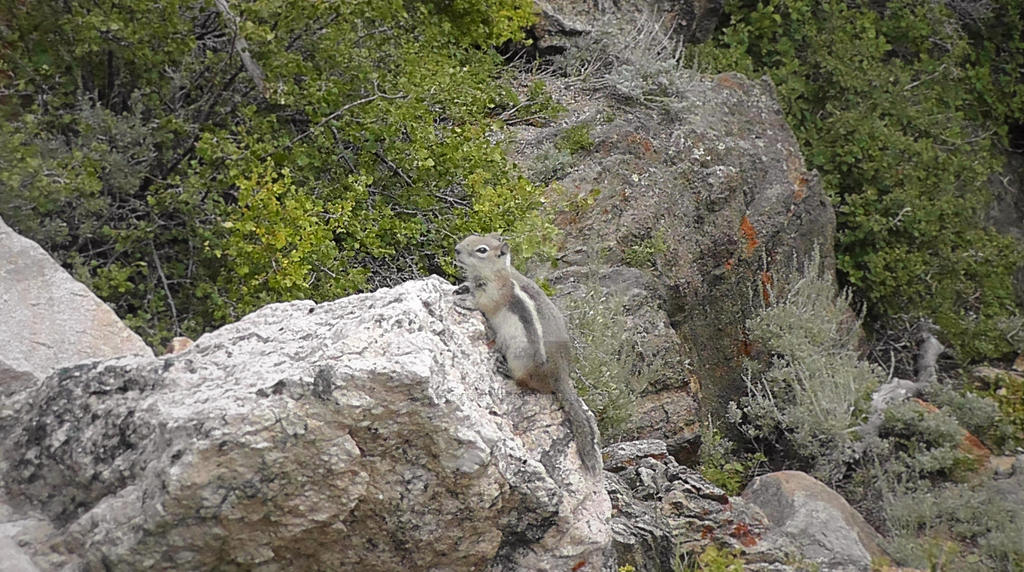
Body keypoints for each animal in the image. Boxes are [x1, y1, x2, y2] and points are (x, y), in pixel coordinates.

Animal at [454, 233, 602, 474]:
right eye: (470, 237)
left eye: (481, 250)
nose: (456, 249)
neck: (499, 274)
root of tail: (561, 375)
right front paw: (461, 288)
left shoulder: (494, 296)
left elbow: (482, 304)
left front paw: (464, 301)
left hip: (520, 358)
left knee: (526, 382)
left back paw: (505, 369)